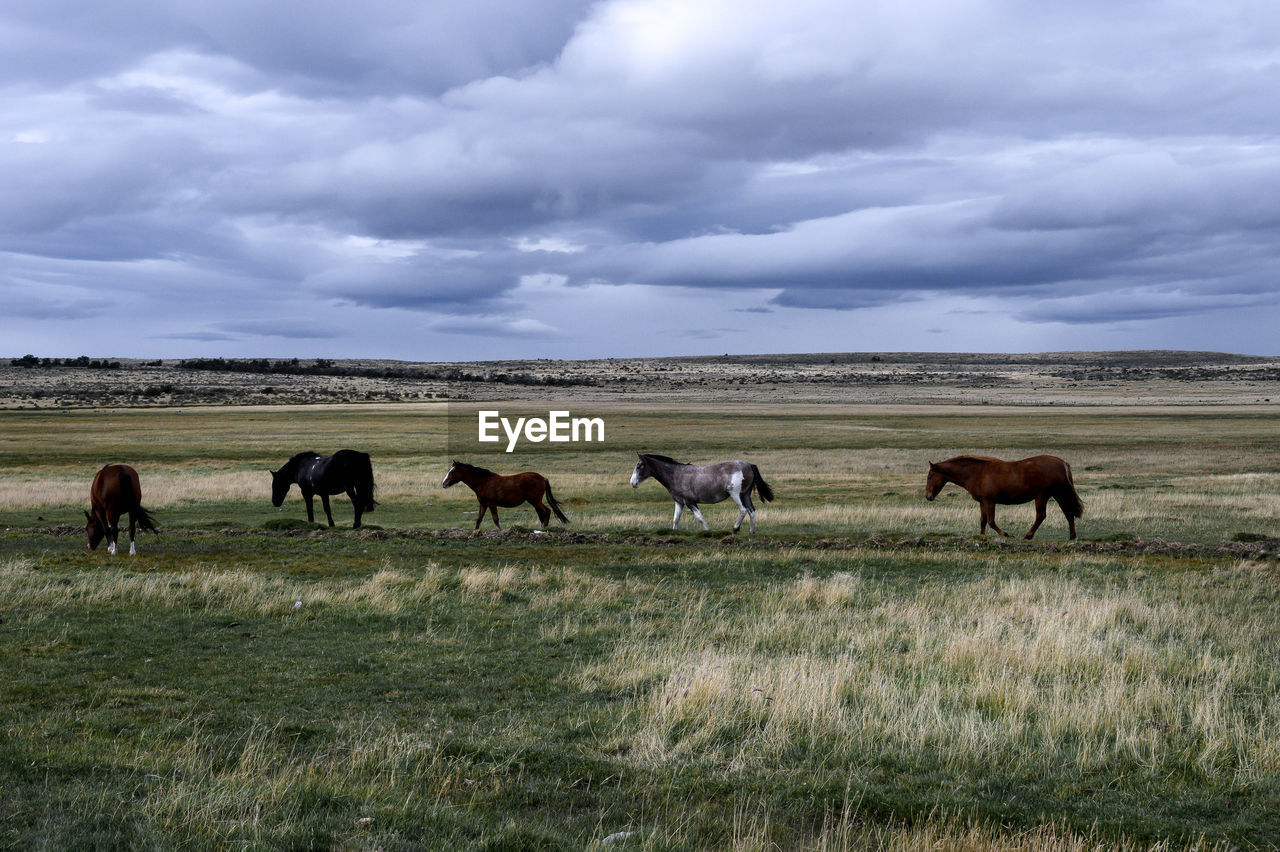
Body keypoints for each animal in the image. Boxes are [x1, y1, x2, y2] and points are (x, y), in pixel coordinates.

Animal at [440, 460, 570, 527]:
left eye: (452, 472)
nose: (443, 483)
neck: (483, 482)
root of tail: (543, 478)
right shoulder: (483, 504)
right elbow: (479, 520)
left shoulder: (492, 504)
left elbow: (496, 520)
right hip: (534, 501)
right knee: (542, 514)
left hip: (535, 500)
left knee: (546, 511)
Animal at [627, 450, 768, 532]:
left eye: (639, 466)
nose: (632, 483)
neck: (676, 474)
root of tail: (748, 465)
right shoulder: (679, 502)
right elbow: (676, 519)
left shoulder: (690, 502)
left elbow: (700, 518)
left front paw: (707, 532)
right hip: (745, 495)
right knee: (751, 511)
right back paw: (751, 532)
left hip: (735, 495)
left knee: (743, 510)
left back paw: (735, 528)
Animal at [926, 450, 1085, 537]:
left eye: (930, 476)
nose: (928, 496)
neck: (977, 473)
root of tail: (1062, 463)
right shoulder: (983, 502)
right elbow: (983, 521)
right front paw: (982, 537)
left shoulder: (990, 501)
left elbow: (991, 521)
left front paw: (1006, 534)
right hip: (1059, 495)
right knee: (1068, 513)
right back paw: (1072, 536)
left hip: (1042, 495)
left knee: (1041, 515)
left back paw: (1028, 535)